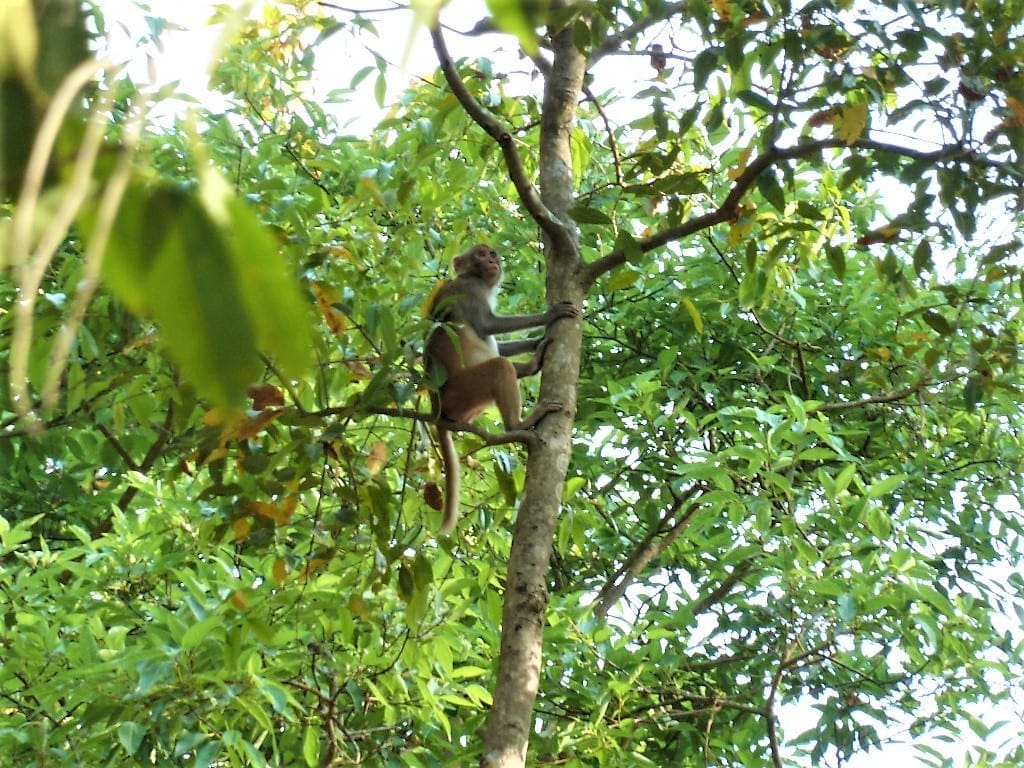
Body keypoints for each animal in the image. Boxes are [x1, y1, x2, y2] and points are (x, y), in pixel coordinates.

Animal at [423, 241, 581, 536]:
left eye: (492, 254)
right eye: (481, 254)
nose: (493, 261)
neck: (474, 278)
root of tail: (436, 406)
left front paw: (535, 351)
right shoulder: (470, 289)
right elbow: (487, 325)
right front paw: (550, 315)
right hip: (459, 392)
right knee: (498, 367)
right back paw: (518, 423)